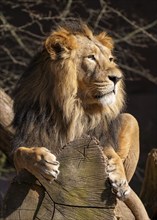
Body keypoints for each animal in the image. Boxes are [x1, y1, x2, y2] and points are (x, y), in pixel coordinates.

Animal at [12, 20, 139, 203]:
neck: (76, 108)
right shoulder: (27, 141)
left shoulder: (100, 137)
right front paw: (43, 162)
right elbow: (20, 153)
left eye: (110, 59)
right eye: (91, 57)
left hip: (131, 119)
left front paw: (118, 176)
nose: (117, 78)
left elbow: (110, 151)